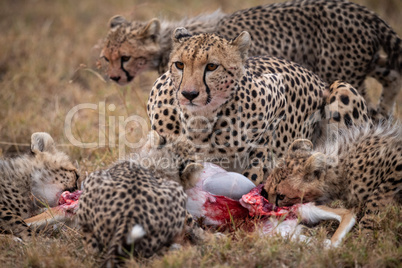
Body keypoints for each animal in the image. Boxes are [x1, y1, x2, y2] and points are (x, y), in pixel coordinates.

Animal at [101, 0, 402, 117]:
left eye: (125, 57)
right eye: (106, 58)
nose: (114, 77)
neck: (166, 40)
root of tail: (362, 11)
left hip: (344, 71)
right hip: (371, 62)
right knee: (393, 78)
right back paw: (387, 113)